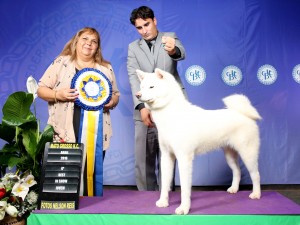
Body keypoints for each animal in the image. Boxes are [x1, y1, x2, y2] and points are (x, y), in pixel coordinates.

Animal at [136, 68, 262, 214]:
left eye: (151, 87)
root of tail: (244, 114)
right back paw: (234, 189)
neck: (171, 115)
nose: (137, 95)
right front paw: (163, 202)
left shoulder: (184, 158)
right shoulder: (167, 157)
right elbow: (165, 184)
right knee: (237, 171)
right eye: (142, 87)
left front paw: (183, 209)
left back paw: (256, 194)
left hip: (248, 153)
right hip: (229, 155)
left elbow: (185, 188)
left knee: (256, 174)